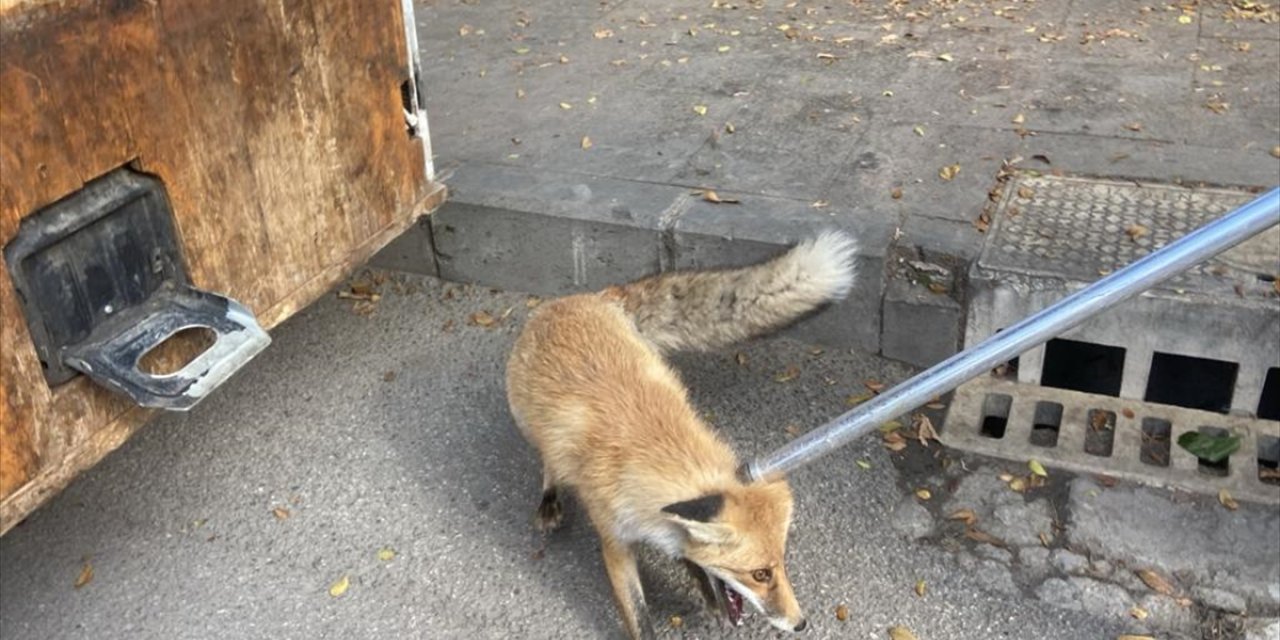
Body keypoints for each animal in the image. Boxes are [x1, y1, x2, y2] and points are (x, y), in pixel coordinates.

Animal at [504, 229, 855, 634]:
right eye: (760, 574)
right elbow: (639, 619)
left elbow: (688, 550)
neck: (651, 450)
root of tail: (590, 297)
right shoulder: (614, 542)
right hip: (525, 418)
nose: (800, 624)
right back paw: (549, 497)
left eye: (781, 564)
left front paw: (702, 583)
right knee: (547, 456)